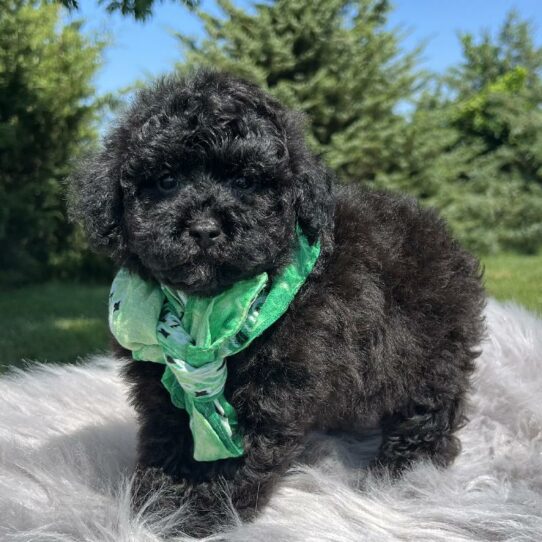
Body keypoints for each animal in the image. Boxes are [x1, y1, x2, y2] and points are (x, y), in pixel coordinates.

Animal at [69, 70, 488, 536]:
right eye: (166, 181)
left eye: (245, 183)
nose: (204, 228)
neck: (209, 310)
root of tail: (445, 240)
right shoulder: (163, 385)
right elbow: (170, 434)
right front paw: (155, 501)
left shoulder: (275, 388)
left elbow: (238, 455)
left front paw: (203, 513)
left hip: (431, 350)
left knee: (429, 406)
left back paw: (408, 466)